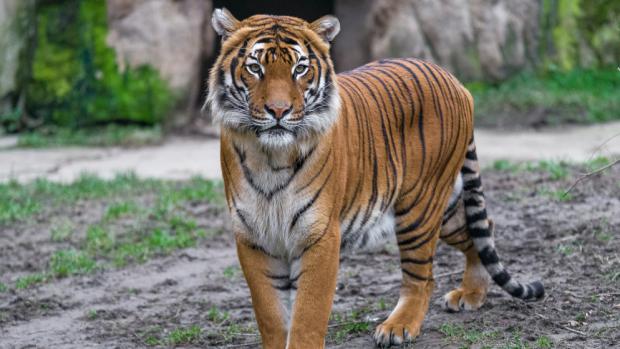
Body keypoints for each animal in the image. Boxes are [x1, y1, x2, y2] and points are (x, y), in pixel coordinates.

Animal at [205, 8, 544, 348]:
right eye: (255, 67)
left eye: (300, 69)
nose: (278, 111)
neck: (270, 157)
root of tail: (455, 81)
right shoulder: (253, 237)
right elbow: (271, 316)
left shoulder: (320, 235)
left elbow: (308, 315)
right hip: (444, 208)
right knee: (482, 227)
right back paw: (472, 294)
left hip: (419, 207)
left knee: (422, 278)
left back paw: (398, 326)